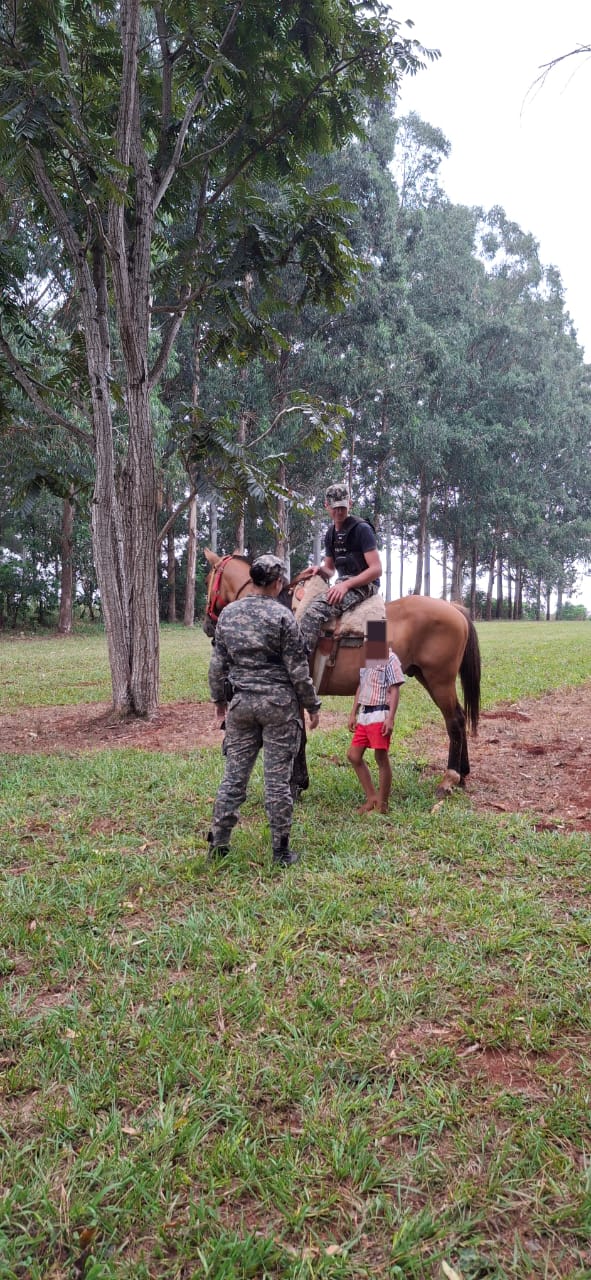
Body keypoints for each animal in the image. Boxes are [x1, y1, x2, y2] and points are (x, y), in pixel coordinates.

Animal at [203, 552, 480, 798]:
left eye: (208, 580)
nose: (207, 626)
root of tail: (453, 607)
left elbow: (299, 739)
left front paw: (296, 785)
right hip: (427, 676)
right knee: (459, 716)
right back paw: (462, 775)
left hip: (439, 680)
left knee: (455, 721)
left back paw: (449, 778)